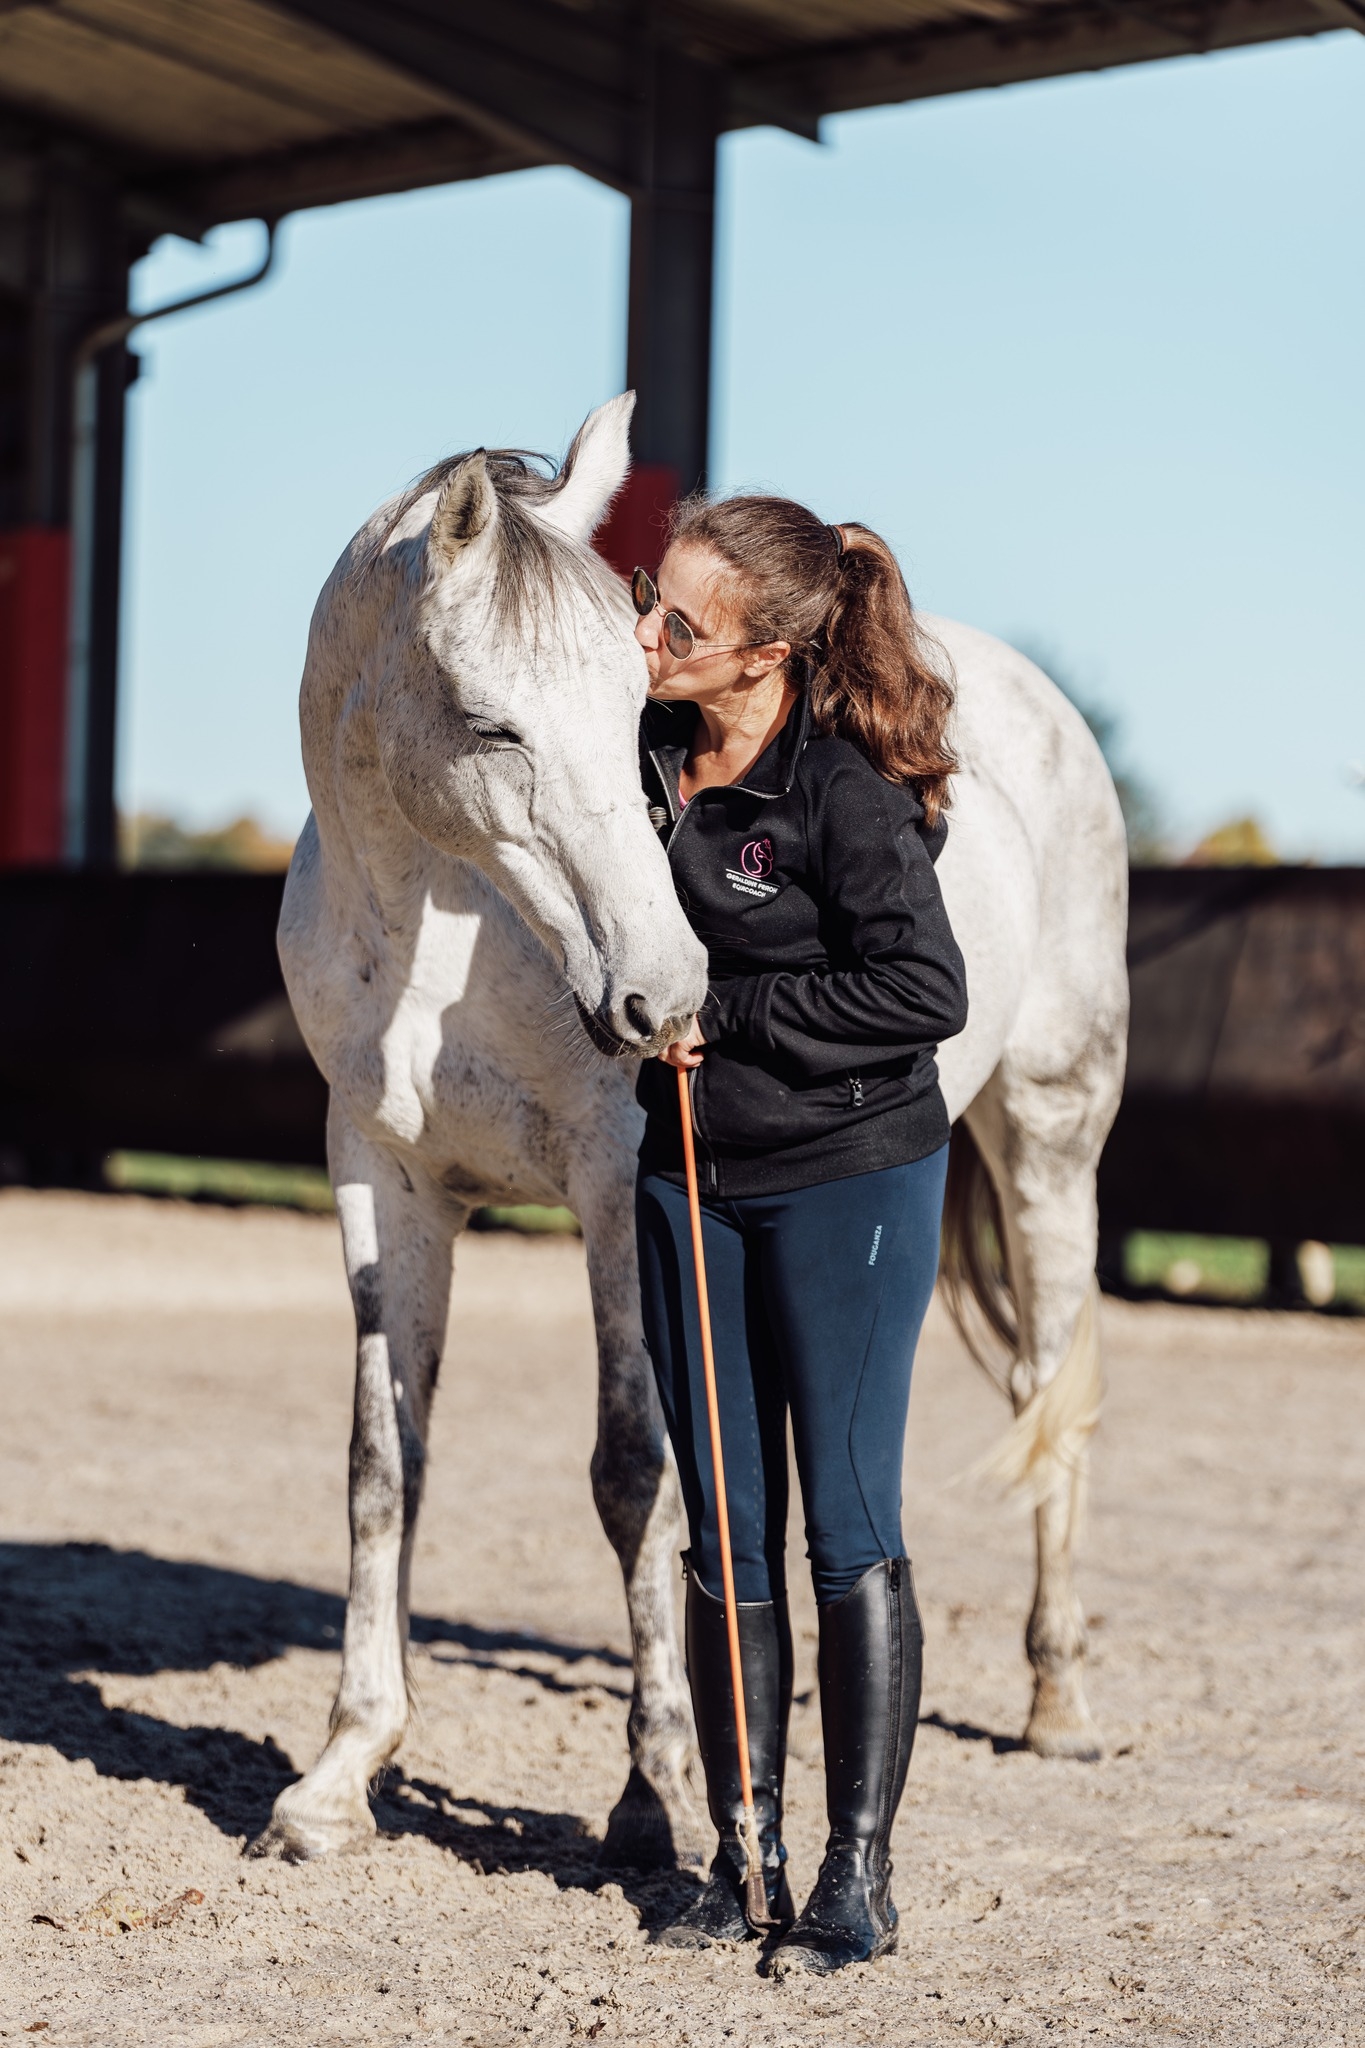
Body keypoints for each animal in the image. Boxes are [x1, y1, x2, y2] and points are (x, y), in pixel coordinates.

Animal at [248, 394, 1128, 1868]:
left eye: (635, 706)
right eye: (493, 727)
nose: (664, 994)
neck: (439, 929)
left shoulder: (619, 1196)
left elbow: (635, 1473)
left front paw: (653, 1790)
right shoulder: (382, 1181)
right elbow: (385, 1463)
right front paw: (338, 1775)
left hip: (1052, 1138)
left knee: (1049, 1391)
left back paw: (1057, 1702)